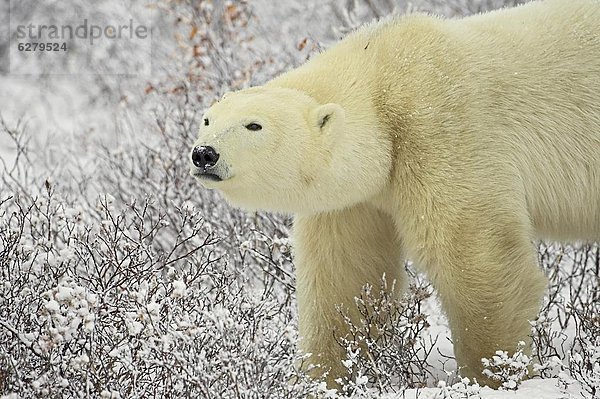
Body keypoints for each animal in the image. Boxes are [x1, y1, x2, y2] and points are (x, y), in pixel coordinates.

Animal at [191, 0, 600, 388]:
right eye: (207, 119)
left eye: (254, 125)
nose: (204, 153)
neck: (382, 71)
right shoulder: (356, 197)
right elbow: (345, 277)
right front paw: (328, 376)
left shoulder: (442, 128)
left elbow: (475, 256)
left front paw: (496, 372)